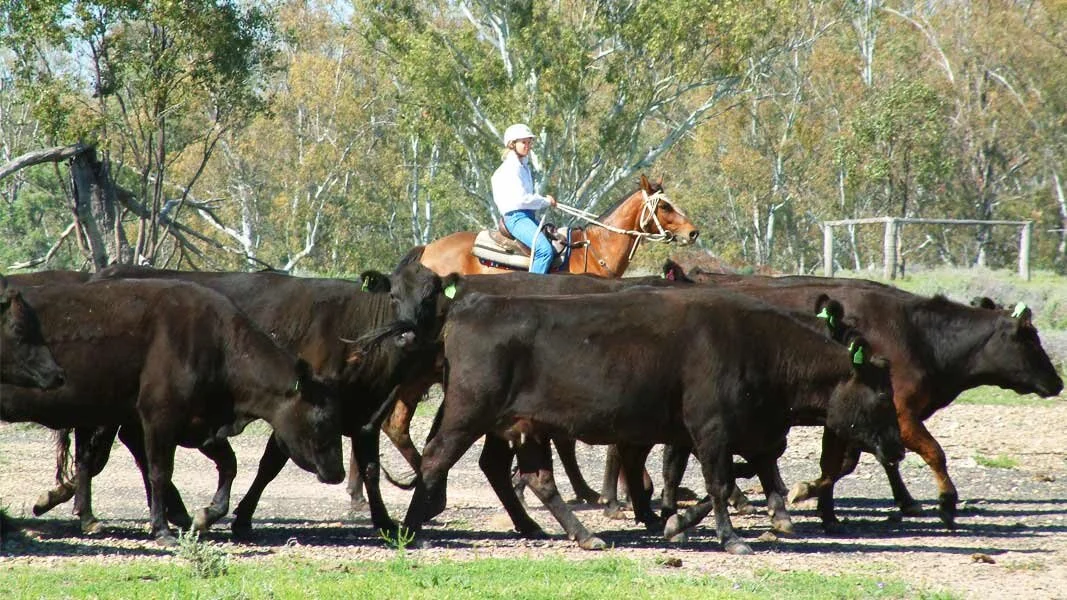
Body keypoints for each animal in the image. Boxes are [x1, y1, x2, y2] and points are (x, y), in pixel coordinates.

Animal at [0, 278, 346, 544]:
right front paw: (162, 528)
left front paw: (205, 515)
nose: (338, 473)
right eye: (324, 419)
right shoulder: (160, 418)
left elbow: (229, 464)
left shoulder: (198, 424)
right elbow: (159, 471)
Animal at [395, 285, 904, 554]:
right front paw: (729, 538)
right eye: (883, 395)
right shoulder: (711, 429)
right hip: (467, 413)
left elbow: (735, 483)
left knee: (537, 479)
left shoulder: (718, 435)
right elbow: (719, 483)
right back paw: (411, 528)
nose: (898, 448)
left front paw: (677, 522)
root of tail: (473, 304)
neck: (754, 346)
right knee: (435, 458)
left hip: (526, 426)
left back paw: (584, 536)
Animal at [665, 260, 1064, 528]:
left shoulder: (854, 419)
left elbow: (845, 463)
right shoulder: (900, 412)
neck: (918, 337)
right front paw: (946, 502)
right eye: (1031, 339)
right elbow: (932, 453)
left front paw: (820, 502)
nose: (1058, 383)